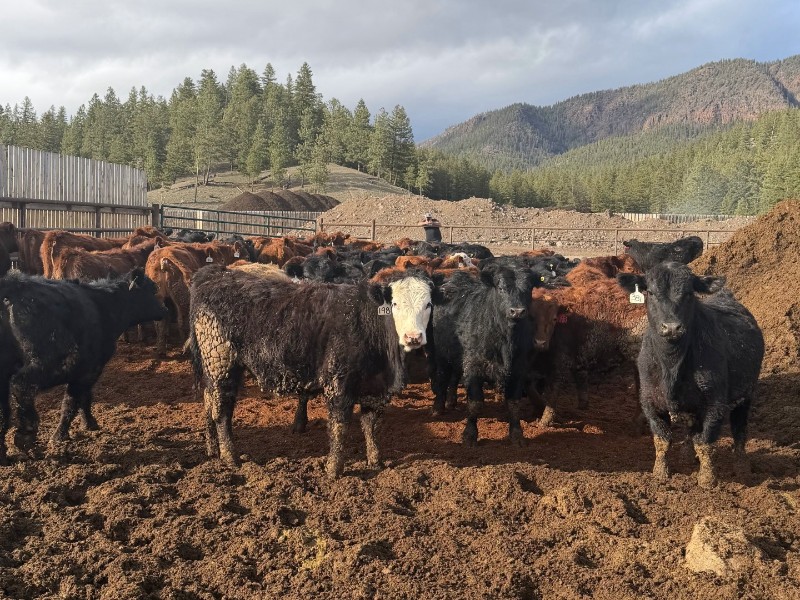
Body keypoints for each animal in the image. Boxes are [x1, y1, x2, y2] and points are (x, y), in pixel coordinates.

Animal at [0, 268, 167, 462]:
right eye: (153, 290)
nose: (165, 309)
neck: (105, 306)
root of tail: (13, 284)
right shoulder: (88, 371)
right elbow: (72, 403)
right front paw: (60, 435)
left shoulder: (90, 372)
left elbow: (84, 398)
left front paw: (89, 424)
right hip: (50, 364)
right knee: (22, 385)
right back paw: (26, 436)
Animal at [187, 266, 439, 478]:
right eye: (395, 304)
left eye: (428, 305)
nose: (413, 337)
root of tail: (214, 274)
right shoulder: (339, 383)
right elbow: (339, 427)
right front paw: (334, 470)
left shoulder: (375, 389)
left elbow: (371, 426)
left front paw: (375, 461)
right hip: (222, 364)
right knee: (222, 411)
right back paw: (231, 458)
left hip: (214, 366)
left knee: (209, 401)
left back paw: (212, 449)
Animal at [427, 263, 536, 445]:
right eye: (501, 288)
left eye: (529, 288)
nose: (517, 311)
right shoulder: (473, 368)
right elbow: (475, 404)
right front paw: (469, 434)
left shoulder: (518, 370)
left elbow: (514, 404)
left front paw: (517, 434)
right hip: (442, 355)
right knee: (442, 378)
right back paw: (438, 407)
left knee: (454, 378)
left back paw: (451, 401)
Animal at [617, 262, 764, 487]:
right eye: (650, 292)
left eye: (689, 293)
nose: (671, 327)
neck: (671, 365)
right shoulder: (649, 402)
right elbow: (662, 440)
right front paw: (660, 473)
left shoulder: (715, 404)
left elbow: (705, 442)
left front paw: (707, 479)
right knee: (691, 429)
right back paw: (687, 455)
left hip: (746, 395)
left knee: (739, 431)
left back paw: (742, 468)